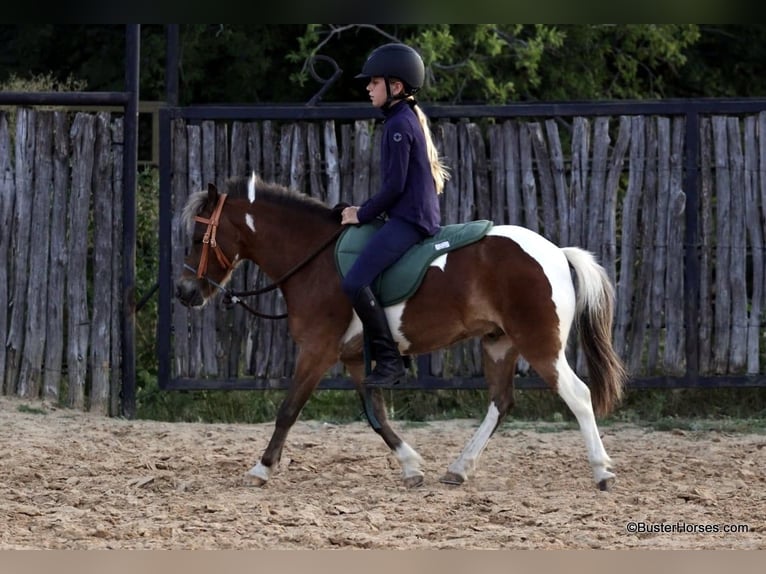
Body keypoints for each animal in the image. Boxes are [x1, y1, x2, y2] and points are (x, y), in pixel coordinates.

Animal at [176, 171, 632, 490]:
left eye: (198, 237)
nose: (184, 292)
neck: (313, 259)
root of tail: (555, 252)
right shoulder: (357, 359)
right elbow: (376, 415)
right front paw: (411, 466)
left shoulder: (317, 351)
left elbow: (289, 409)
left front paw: (261, 468)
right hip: (499, 344)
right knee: (501, 402)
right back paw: (459, 469)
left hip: (540, 344)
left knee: (578, 395)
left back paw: (602, 471)